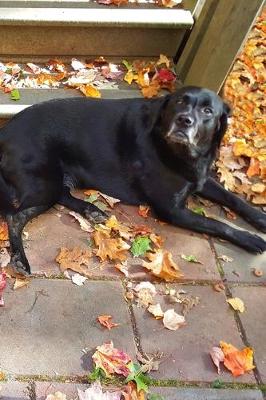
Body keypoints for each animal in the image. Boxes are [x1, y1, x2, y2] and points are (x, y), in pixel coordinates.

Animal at [0, 87, 264, 276]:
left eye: (208, 111)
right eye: (180, 102)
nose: (184, 120)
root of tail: (4, 132)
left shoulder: (199, 179)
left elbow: (232, 197)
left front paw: (259, 217)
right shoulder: (172, 210)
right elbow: (217, 224)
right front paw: (249, 238)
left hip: (52, 183)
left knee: (59, 197)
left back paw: (92, 210)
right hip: (45, 183)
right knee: (15, 216)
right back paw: (20, 259)